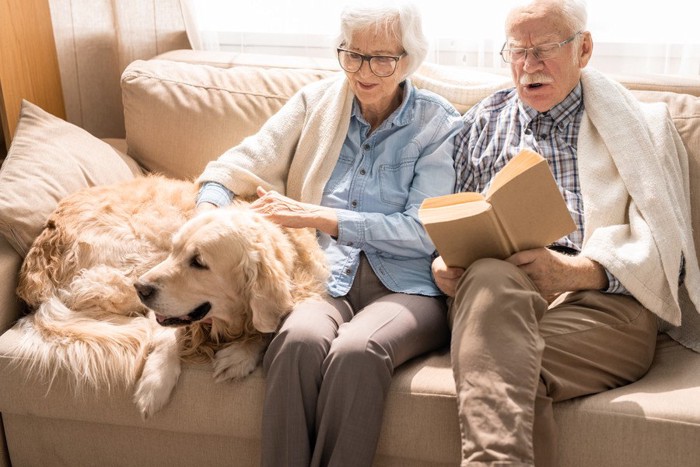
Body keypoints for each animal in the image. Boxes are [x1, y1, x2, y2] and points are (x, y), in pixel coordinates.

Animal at [11, 175, 328, 416]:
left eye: (198, 262)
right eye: (175, 251)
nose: (142, 288)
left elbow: (270, 324)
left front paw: (241, 353)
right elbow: (167, 333)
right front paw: (157, 381)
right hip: (136, 259)